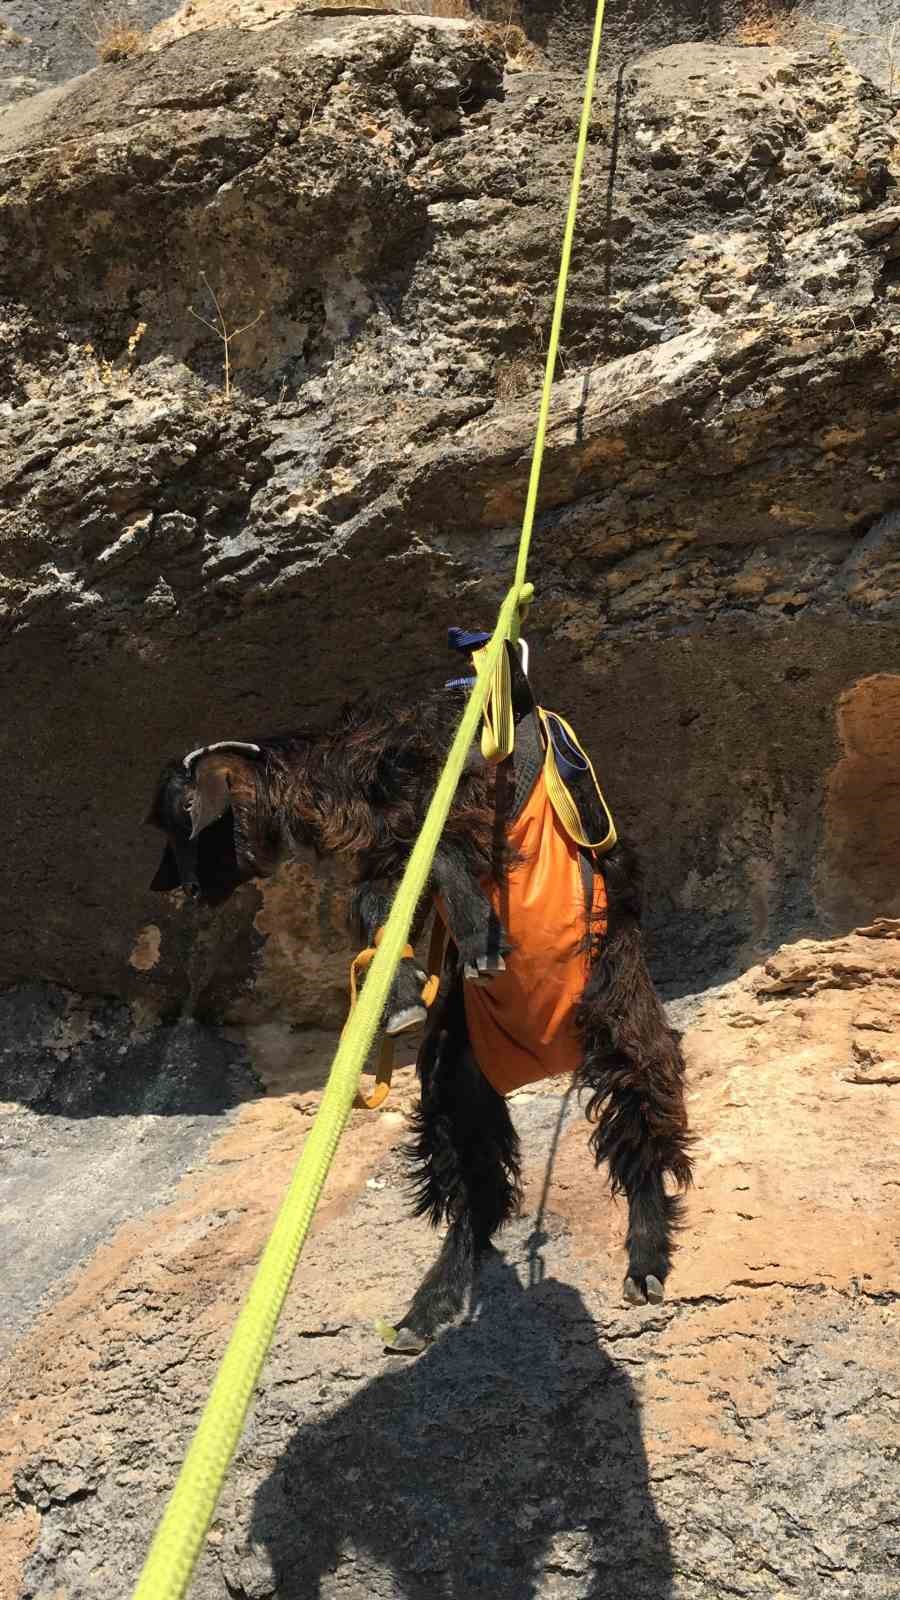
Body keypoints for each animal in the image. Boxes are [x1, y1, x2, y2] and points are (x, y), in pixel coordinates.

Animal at [147, 652, 688, 1350]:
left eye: (185, 815)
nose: (181, 891)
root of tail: (547, 1058)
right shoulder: (393, 847)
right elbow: (381, 897)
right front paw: (403, 989)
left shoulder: (472, 790)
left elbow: (443, 851)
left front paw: (477, 935)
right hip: (456, 1080)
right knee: (476, 1192)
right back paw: (430, 1304)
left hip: (620, 1014)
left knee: (643, 1123)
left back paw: (645, 1259)